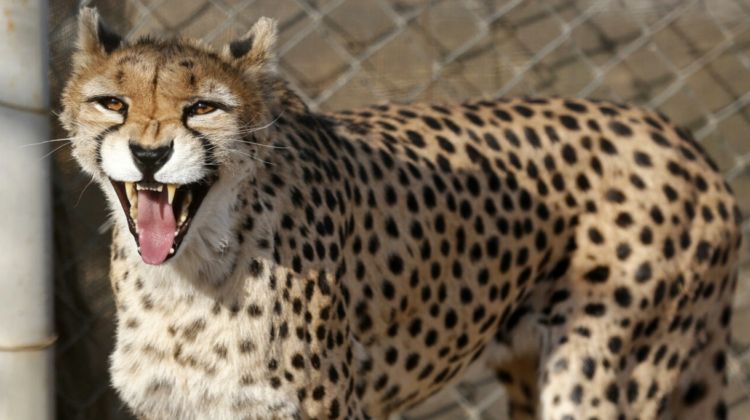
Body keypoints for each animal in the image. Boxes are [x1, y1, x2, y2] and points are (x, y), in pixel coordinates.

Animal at [60, 7, 742, 420]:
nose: (150, 154)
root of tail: (683, 139)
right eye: (113, 103)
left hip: (597, 379)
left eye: (203, 107)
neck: (188, 273)